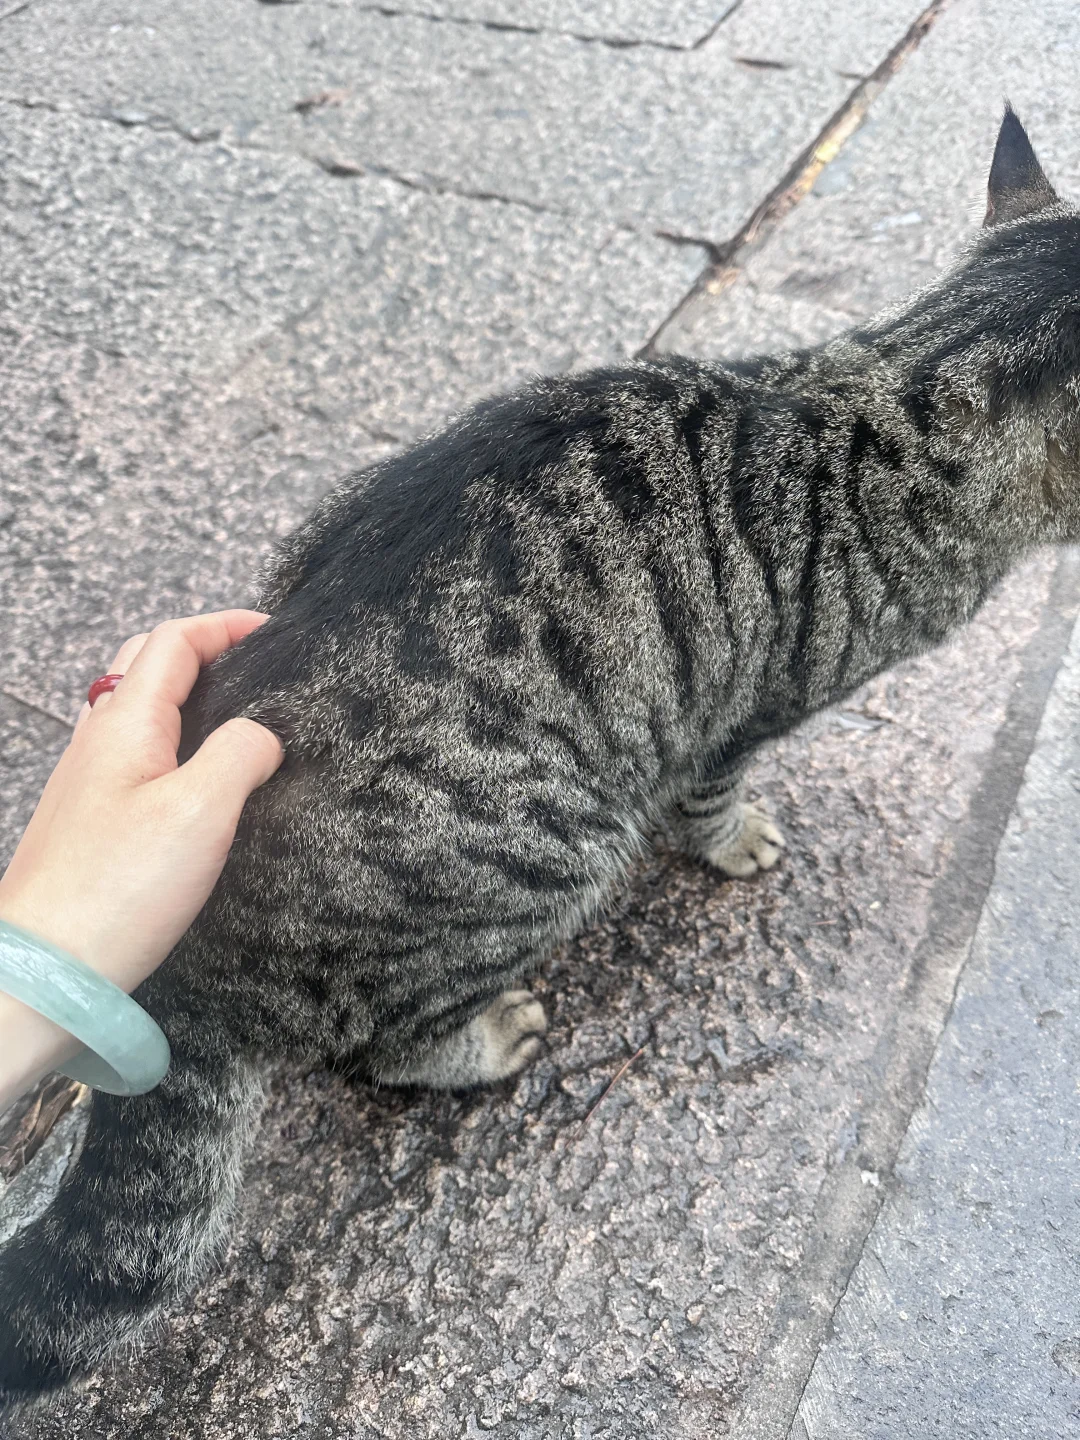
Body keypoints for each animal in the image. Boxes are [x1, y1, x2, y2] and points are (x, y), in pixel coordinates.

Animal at [1, 106, 1076, 1406]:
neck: (889, 394)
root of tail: (186, 963)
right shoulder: (743, 711)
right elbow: (712, 795)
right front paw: (733, 842)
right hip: (552, 851)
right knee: (383, 1047)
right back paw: (483, 1038)